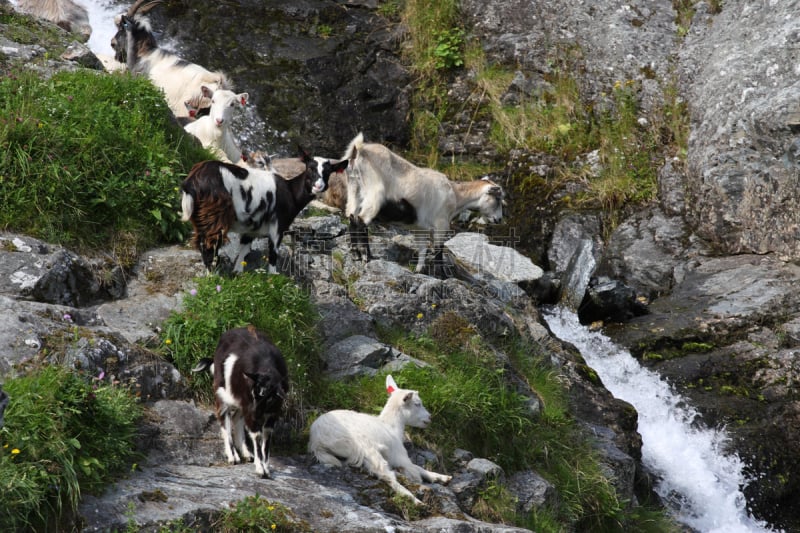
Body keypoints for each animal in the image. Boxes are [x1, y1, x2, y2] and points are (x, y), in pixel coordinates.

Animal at [182, 152, 350, 272]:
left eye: (329, 172)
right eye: (310, 168)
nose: (318, 186)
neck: (290, 192)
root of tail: (192, 182)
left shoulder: (251, 229)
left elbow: (243, 252)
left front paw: (237, 273)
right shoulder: (278, 227)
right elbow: (273, 255)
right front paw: (273, 280)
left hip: (201, 217)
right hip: (215, 216)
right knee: (210, 246)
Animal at [192, 324, 290, 478]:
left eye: (269, 397)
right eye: (255, 393)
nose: (255, 413)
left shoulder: (272, 413)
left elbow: (266, 438)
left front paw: (266, 468)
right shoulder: (249, 405)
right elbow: (256, 435)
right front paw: (260, 469)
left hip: (241, 403)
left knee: (237, 418)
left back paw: (245, 453)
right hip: (222, 393)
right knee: (224, 419)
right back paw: (233, 457)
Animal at [310, 372, 454, 500]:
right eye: (417, 404)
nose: (429, 418)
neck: (391, 426)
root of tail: (317, 441)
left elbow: (417, 467)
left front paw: (443, 477)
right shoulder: (399, 454)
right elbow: (413, 467)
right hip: (364, 447)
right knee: (386, 475)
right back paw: (415, 501)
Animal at [340, 133, 504, 274]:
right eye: (498, 199)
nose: (499, 219)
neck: (456, 195)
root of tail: (359, 150)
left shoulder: (420, 229)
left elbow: (422, 250)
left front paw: (419, 271)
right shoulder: (441, 224)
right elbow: (438, 250)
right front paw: (442, 275)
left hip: (354, 189)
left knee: (352, 218)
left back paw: (355, 253)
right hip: (374, 193)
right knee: (362, 221)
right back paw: (366, 256)